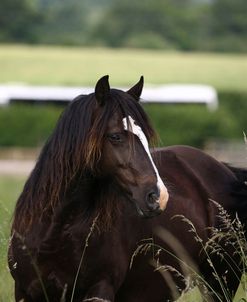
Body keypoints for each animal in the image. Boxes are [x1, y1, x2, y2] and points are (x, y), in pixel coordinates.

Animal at [8, 74, 246, 300]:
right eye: (115, 136)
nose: (158, 197)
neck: (55, 232)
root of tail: (227, 172)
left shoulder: (100, 289)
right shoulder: (25, 292)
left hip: (221, 283)